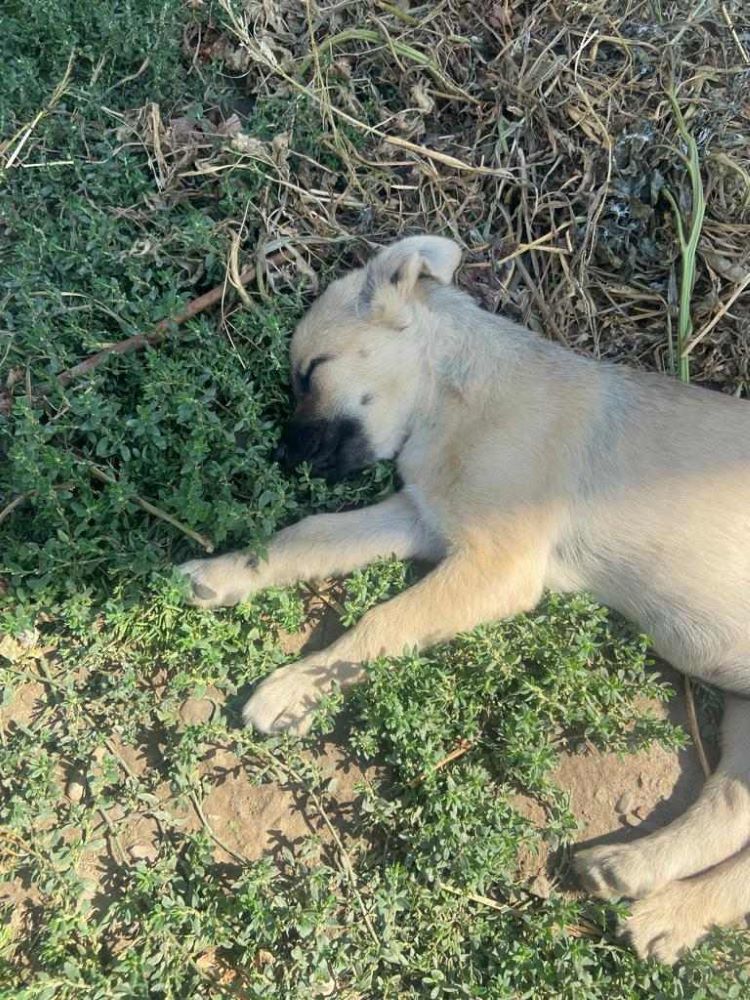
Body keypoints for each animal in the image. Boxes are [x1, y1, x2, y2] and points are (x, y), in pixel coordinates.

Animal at [179, 234, 750, 960]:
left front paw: (295, 687)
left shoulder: (495, 565)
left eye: (311, 371)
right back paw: (637, 872)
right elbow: (306, 536)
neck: (458, 393)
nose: (285, 456)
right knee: (730, 808)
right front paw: (226, 569)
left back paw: (671, 912)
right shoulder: (420, 518)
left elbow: (381, 621)